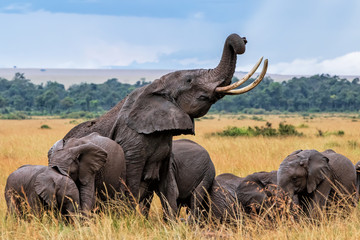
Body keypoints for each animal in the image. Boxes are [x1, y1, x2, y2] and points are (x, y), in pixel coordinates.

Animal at [61, 33, 268, 202]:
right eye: (189, 80)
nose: (243, 40)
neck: (154, 87)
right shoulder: (131, 142)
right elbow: (131, 184)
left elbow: (168, 187)